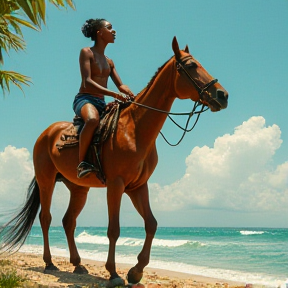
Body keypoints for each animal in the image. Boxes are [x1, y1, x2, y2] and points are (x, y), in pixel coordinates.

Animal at [0, 37, 230, 286]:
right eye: (191, 65)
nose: (222, 95)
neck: (135, 129)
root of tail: (46, 133)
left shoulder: (138, 186)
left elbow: (151, 224)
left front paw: (136, 271)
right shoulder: (116, 185)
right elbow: (114, 229)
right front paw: (113, 273)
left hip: (79, 189)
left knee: (68, 221)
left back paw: (78, 265)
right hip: (46, 181)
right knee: (45, 218)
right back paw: (50, 262)